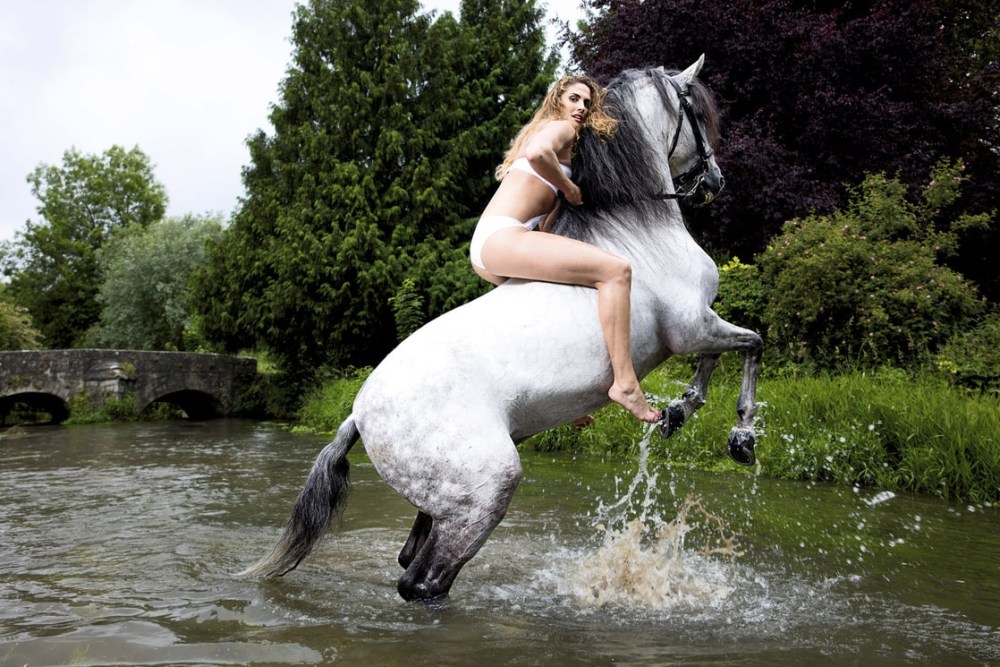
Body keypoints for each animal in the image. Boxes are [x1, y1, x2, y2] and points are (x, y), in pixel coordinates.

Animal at [241, 56, 763, 601]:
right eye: (698, 114)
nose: (716, 180)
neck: (640, 229)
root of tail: (357, 418)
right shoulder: (691, 325)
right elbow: (753, 342)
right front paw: (740, 439)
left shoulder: (698, 325)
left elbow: (720, 356)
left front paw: (680, 412)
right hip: (486, 491)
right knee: (423, 581)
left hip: (442, 501)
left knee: (411, 559)